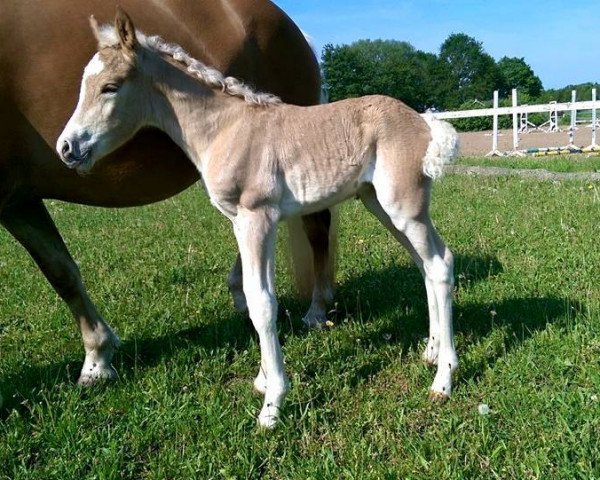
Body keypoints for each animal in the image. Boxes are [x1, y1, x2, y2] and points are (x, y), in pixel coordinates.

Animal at [0, 0, 332, 388]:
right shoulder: (18, 202)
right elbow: (62, 271)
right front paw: (98, 359)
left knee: (317, 226)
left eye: (110, 87)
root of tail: (295, 30)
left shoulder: (11, 197)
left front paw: (96, 362)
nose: (66, 148)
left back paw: (316, 310)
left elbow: (60, 272)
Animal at [57, 9, 460, 426]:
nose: (67, 148)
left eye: (110, 87)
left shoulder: (257, 218)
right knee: (425, 266)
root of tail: (424, 122)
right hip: (380, 205)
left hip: (404, 206)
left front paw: (272, 405)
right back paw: (430, 352)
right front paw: (264, 381)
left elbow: (262, 302)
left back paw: (443, 379)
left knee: (440, 264)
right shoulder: (245, 223)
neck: (225, 129)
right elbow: (256, 298)